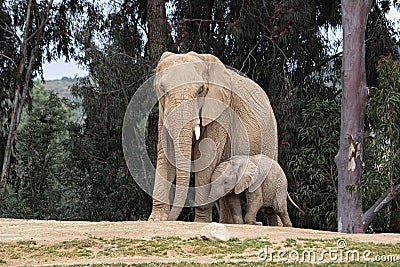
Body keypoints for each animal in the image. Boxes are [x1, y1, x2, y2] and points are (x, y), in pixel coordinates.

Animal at [148, 51, 276, 223]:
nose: (172, 219)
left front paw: (201, 222)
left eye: (201, 90)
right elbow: (165, 155)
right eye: (162, 88)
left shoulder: (221, 112)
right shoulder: (163, 113)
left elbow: (207, 157)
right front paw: (156, 220)